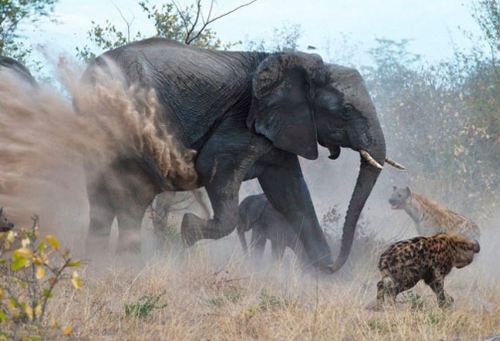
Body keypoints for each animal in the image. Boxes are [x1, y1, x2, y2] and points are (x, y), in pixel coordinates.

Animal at [80, 37, 404, 270]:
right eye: (345, 111)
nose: (334, 264)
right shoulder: (240, 121)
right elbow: (215, 169)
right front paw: (187, 231)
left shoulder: (278, 128)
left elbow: (291, 193)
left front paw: (322, 277)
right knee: (129, 196)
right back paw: (125, 264)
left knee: (105, 199)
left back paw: (100, 263)